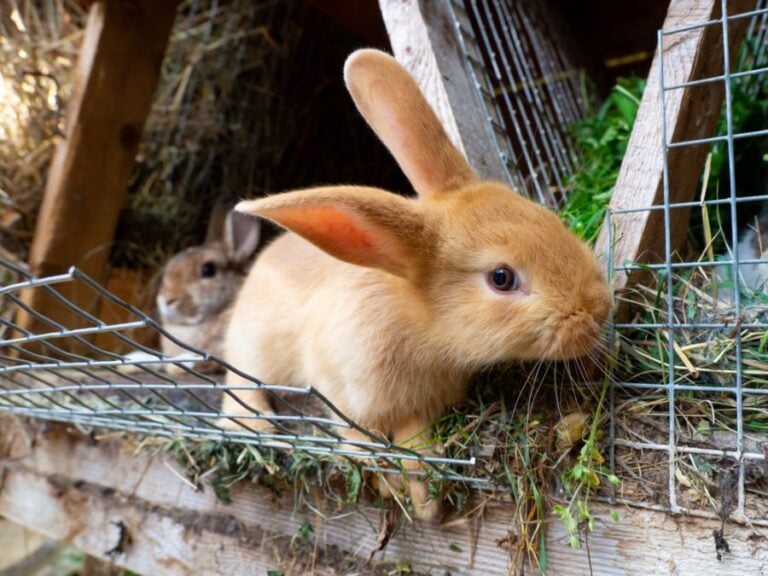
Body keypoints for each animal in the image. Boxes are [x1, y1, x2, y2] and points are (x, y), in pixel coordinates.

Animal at [220, 49, 611, 520]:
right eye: (501, 278)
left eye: (548, 217)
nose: (600, 308)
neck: (422, 331)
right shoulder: (341, 391)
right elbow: (360, 438)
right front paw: (388, 482)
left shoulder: (418, 408)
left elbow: (416, 445)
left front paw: (426, 502)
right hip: (251, 352)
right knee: (238, 389)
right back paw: (251, 424)